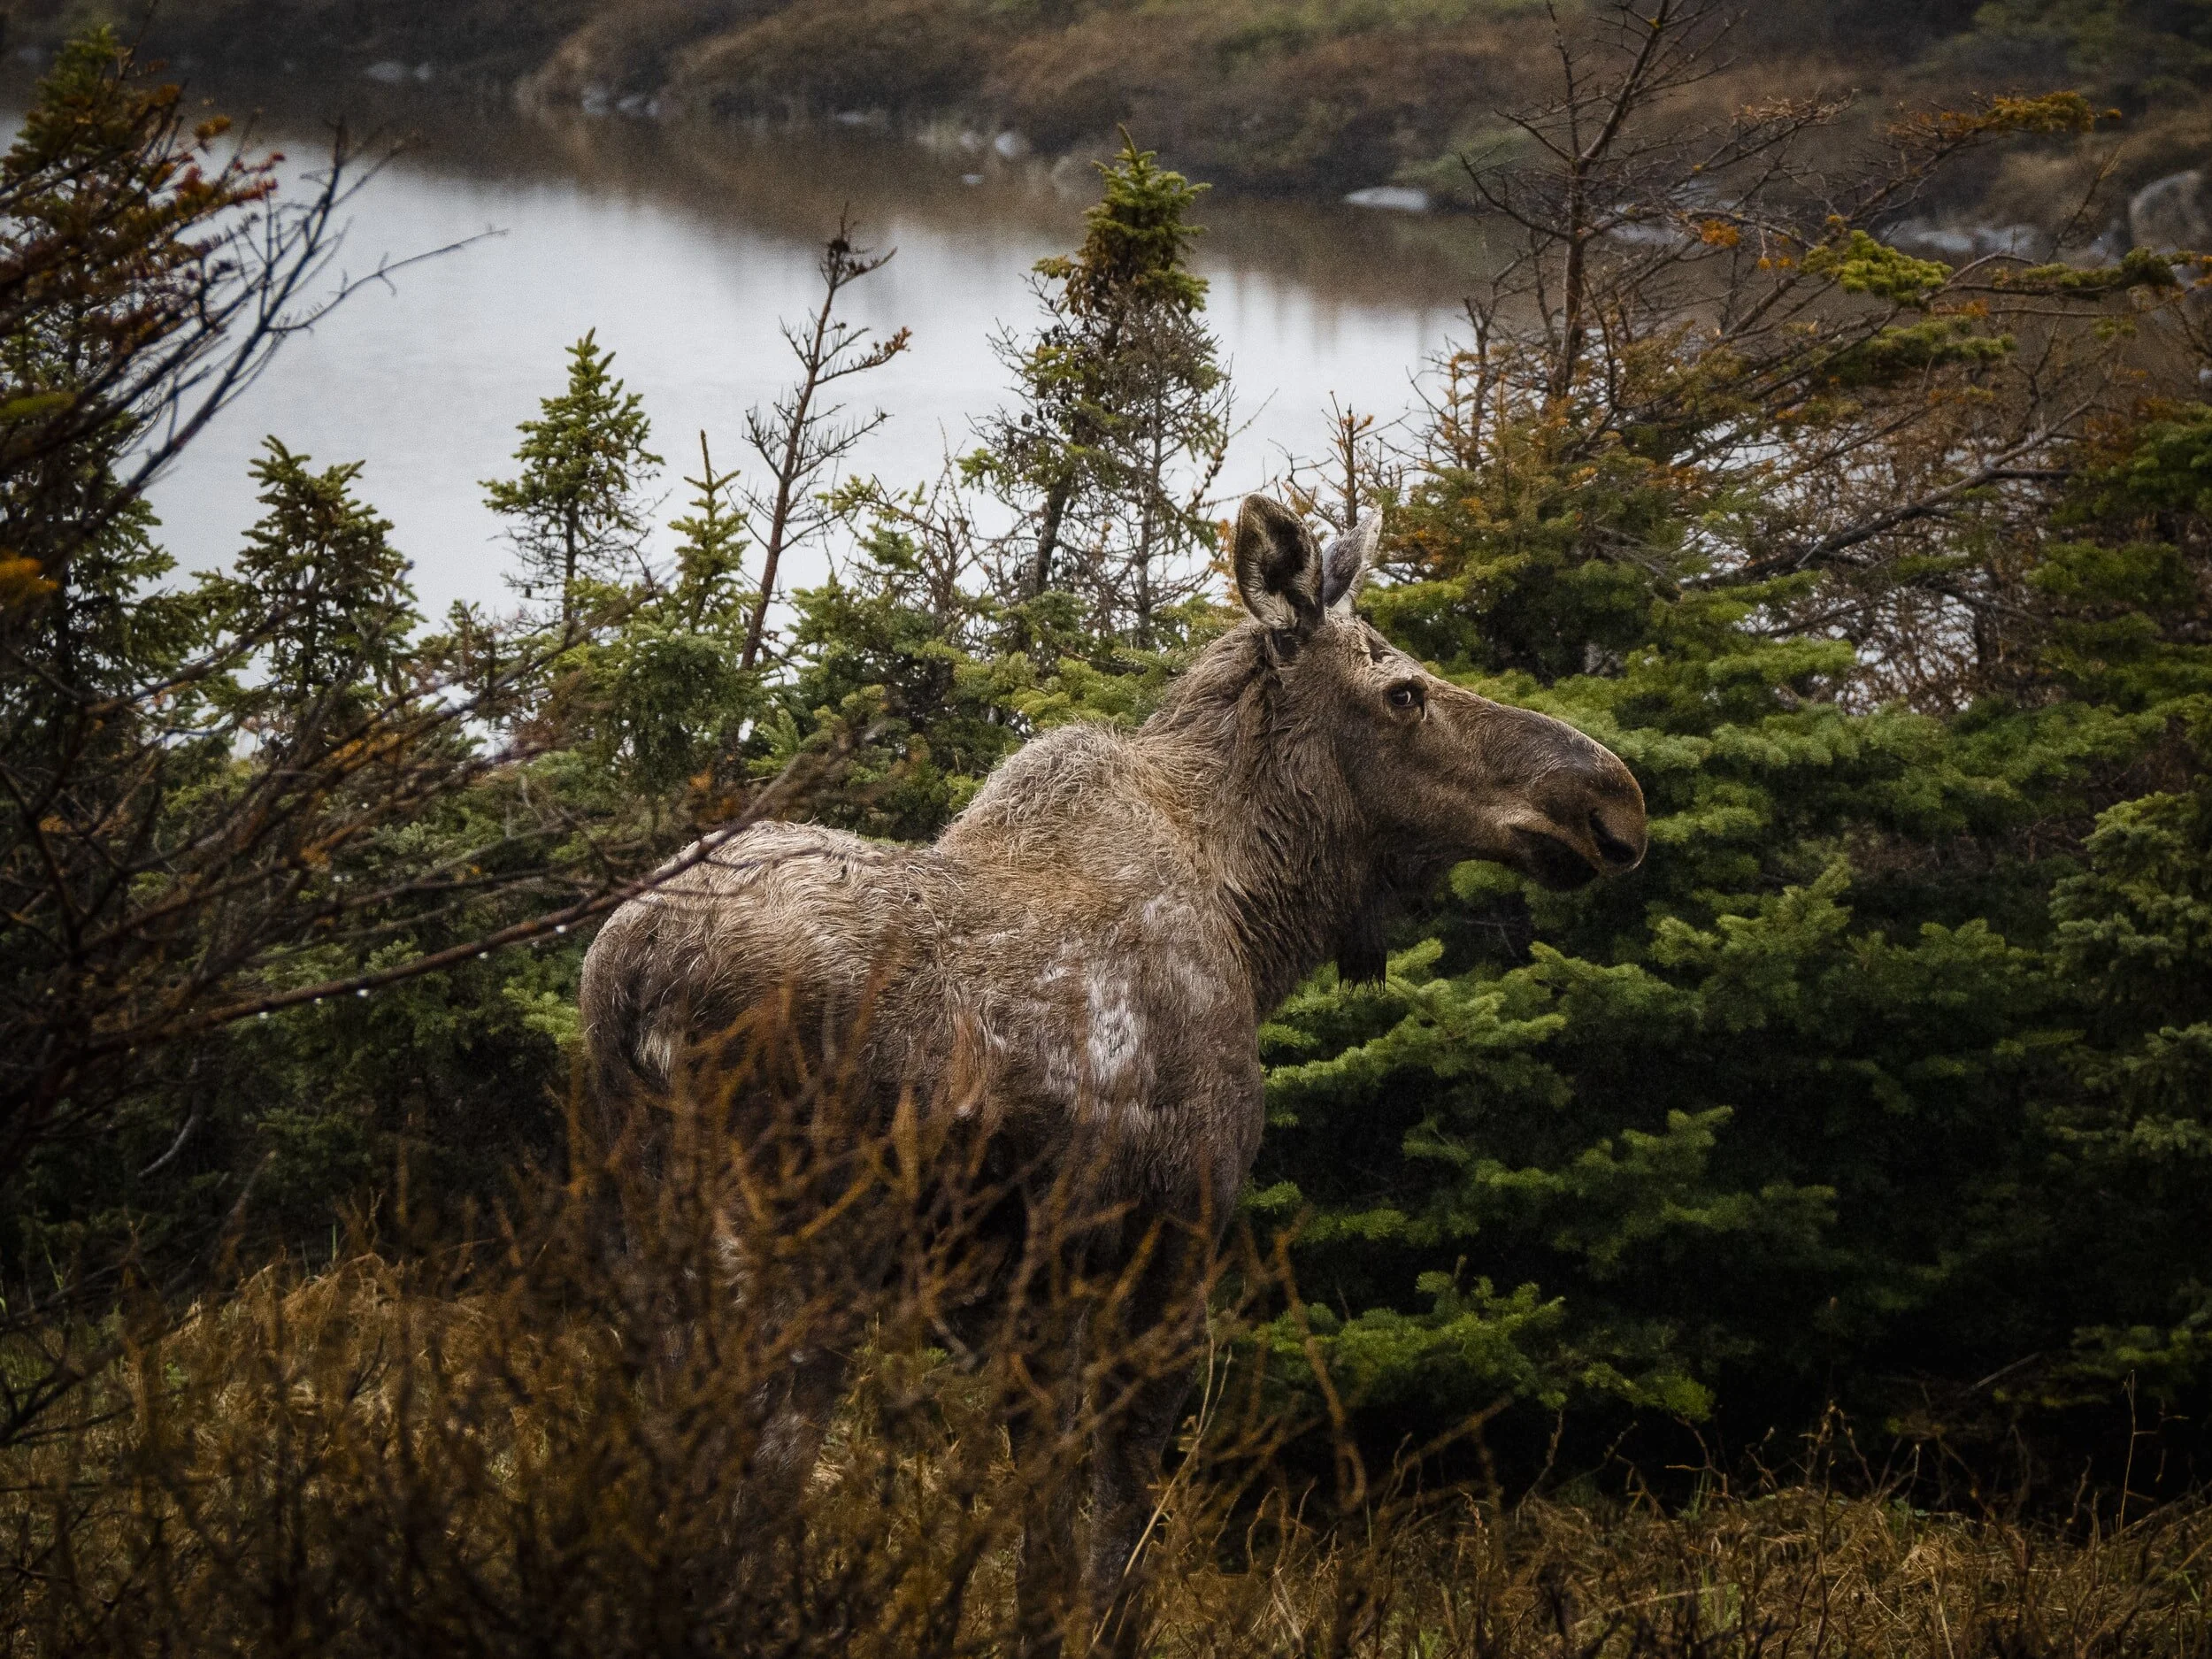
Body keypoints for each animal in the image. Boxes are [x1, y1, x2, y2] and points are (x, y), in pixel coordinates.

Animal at [578, 494, 1648, 1654]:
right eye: (1404, 691)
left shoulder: (1034, 1291)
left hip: (645, 1254)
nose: (1613, 800)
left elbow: (1040, 1541)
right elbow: (1121, 1528)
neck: (1256, 923)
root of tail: (632, 974)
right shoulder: (1177, 1242)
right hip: (801, 1253)